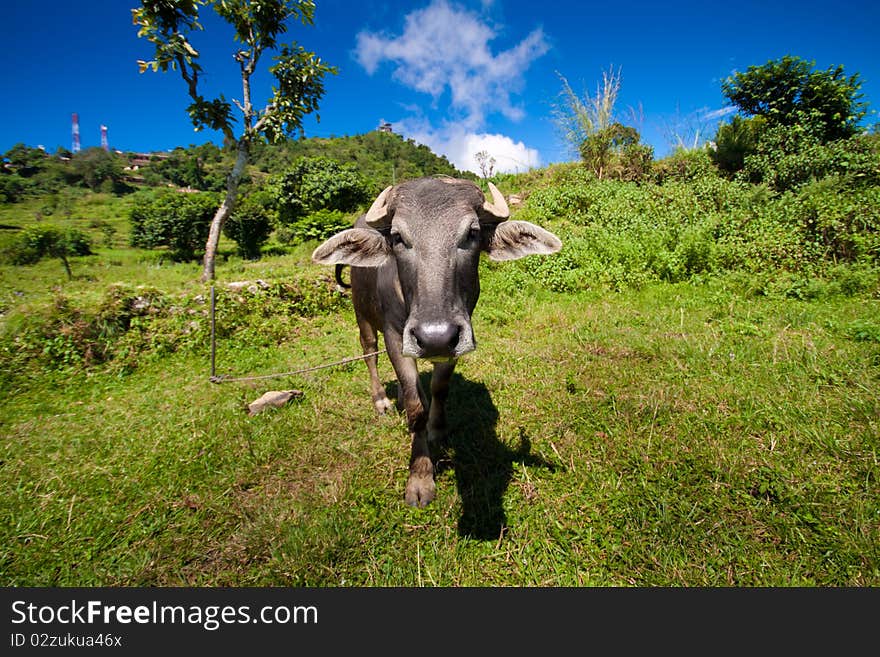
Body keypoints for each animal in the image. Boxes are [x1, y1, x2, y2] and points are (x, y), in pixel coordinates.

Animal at [312, 176, 560, 508]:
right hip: (362, 315)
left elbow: (439, 389)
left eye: (472, 233)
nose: (434, 337)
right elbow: (416, 407)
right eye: (398, 237)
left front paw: (437, 430)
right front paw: (420, 477)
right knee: (369, 353)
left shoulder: (457, 339)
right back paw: (382, 399)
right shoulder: (395, 336)